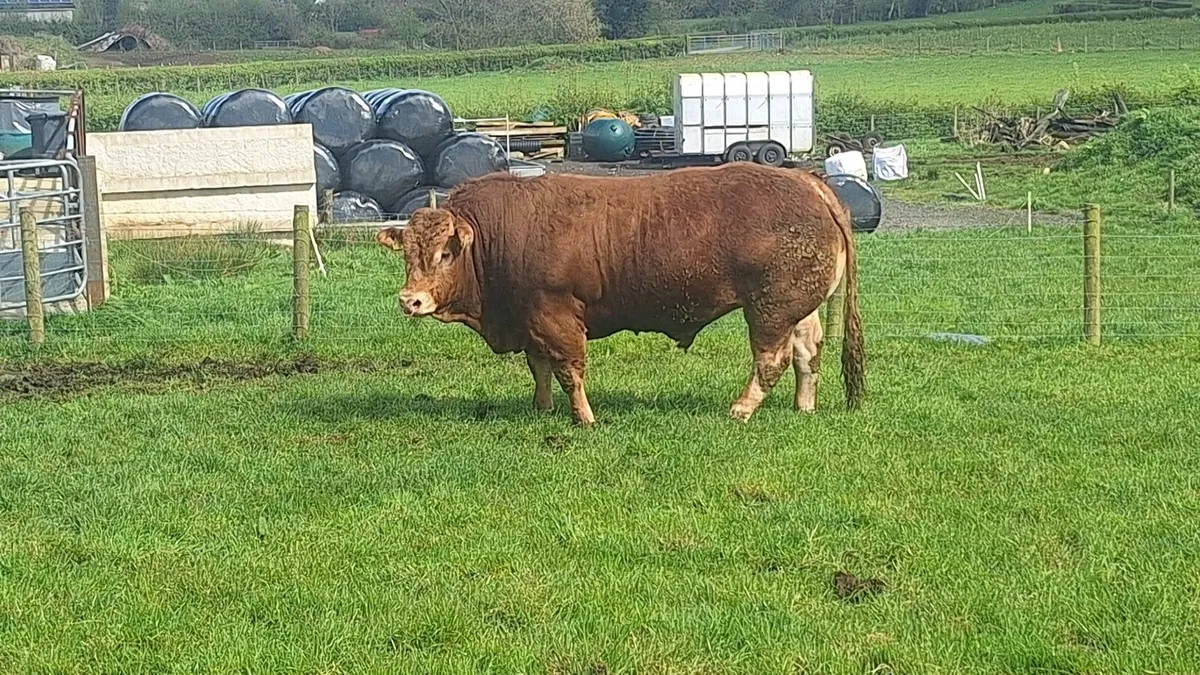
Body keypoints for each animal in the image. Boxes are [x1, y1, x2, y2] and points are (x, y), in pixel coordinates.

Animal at [376, 162, 864, 426]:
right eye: (409, 254)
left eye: (444, 253)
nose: (409, 300)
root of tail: (807, 182)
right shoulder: (530, 317)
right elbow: (540, 368)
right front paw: (541, 408)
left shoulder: (555, 313)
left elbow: (568, 370)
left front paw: (584, 418)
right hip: (796, 307)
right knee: (807, 352)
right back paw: (803, 407)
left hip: (769, 309)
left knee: (772, 359)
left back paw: (741, 408)